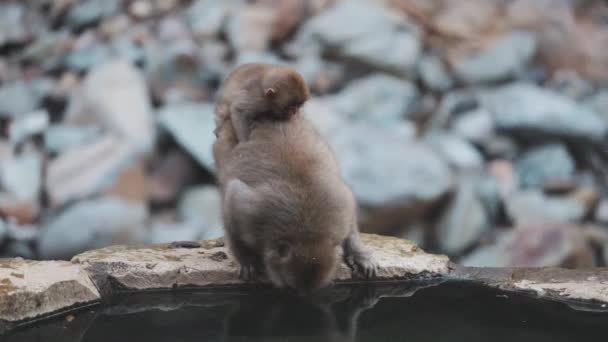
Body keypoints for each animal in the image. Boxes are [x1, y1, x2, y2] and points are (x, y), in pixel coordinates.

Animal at [211, 111, 378, 292]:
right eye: (292, 288)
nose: (301, 296)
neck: (308, 232)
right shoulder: (250, 213)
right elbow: (231, 207)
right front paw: (247, 259)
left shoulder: (342, 205)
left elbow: (350, 221)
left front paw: (359, 254)